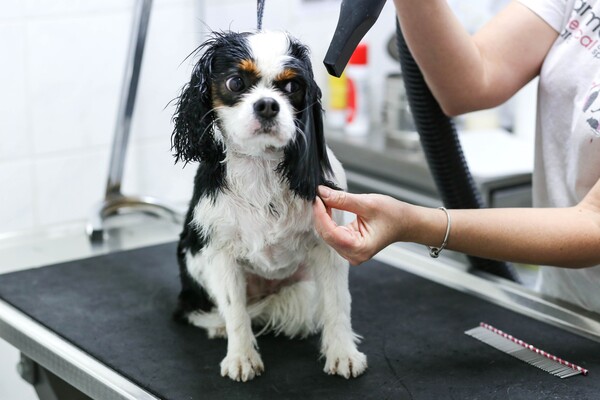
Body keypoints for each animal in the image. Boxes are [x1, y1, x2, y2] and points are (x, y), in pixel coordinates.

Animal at [169, 30, 366, 382]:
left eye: (292, 87)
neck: (261, 165)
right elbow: (235, 311)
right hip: (194, 257)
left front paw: (343, 353)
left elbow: (337, 304)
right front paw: (241, 358)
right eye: (235, 82)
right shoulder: (219, 252)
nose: (267, 105)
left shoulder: (329, 247)